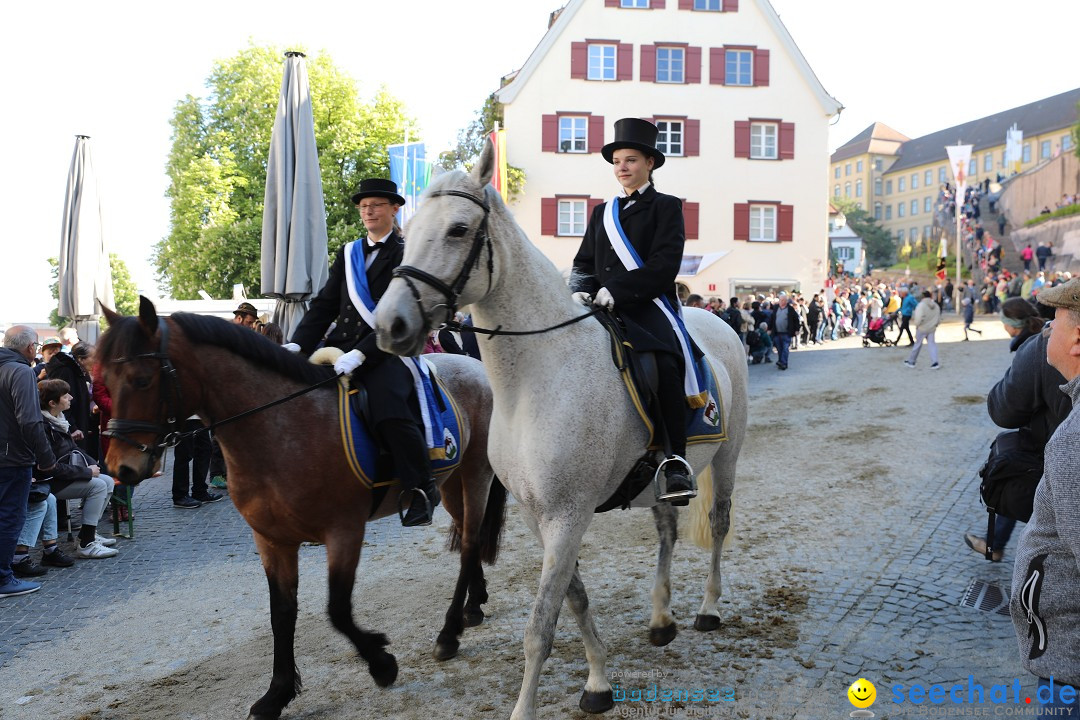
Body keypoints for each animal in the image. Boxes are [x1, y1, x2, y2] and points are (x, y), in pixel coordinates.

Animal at [97, 297, 501, 720]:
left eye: (142, 379)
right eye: (104, 379)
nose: (120, 468)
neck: (281, 427)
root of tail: (475, 365)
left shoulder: (344, 531)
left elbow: (337, 609)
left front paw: (381, 664)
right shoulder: (272, 540)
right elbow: (282, 613)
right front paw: (277, 693)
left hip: (476, 473)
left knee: (469, 544)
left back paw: (449, 633)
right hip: (451, 483)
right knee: (468, 539)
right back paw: (474, 606)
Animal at [375, 142, 747, 720]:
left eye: (458, 229)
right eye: (407, 230)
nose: (388, 325)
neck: (536, 377)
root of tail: (717, 321)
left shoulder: (567, 514)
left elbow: (541, 626)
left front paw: (528, 708)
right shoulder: (538, 514)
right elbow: (574, 598)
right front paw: (598, 683)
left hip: (728, 456)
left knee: (719, 522)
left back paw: (708, 608)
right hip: (661, 477)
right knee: (667, 529)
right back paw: (661, 619)